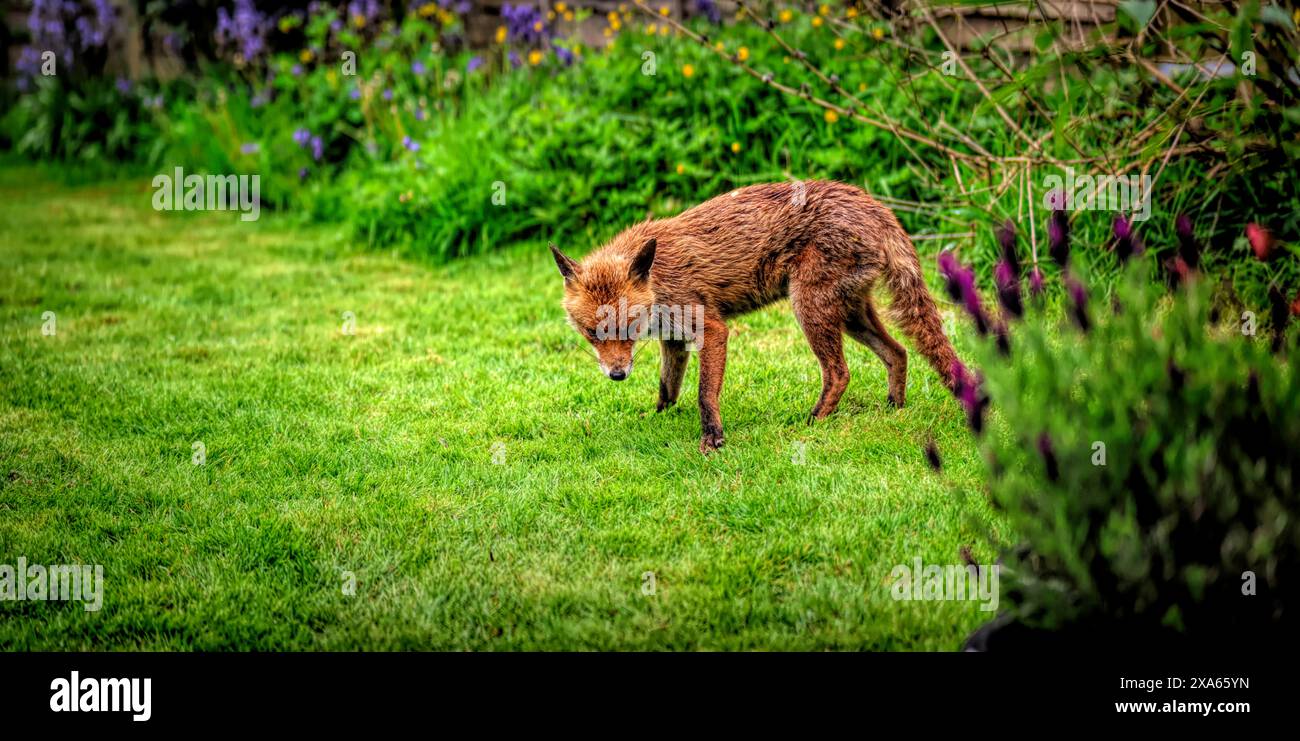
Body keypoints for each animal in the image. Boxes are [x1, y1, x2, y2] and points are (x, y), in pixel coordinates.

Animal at [551, 182, 967, 452]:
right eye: (592, 333)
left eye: (630, 327)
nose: (617, 375)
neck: (658, 280)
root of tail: (874, 204)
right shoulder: (674, 340)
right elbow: (667, 390)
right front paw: (657, 419)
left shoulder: (711, 329)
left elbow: (704, 394)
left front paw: (712, 438)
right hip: (850, 313)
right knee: (899, 352)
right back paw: (894, 408)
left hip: (810, 308)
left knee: (840, 372)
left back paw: (814, 421)